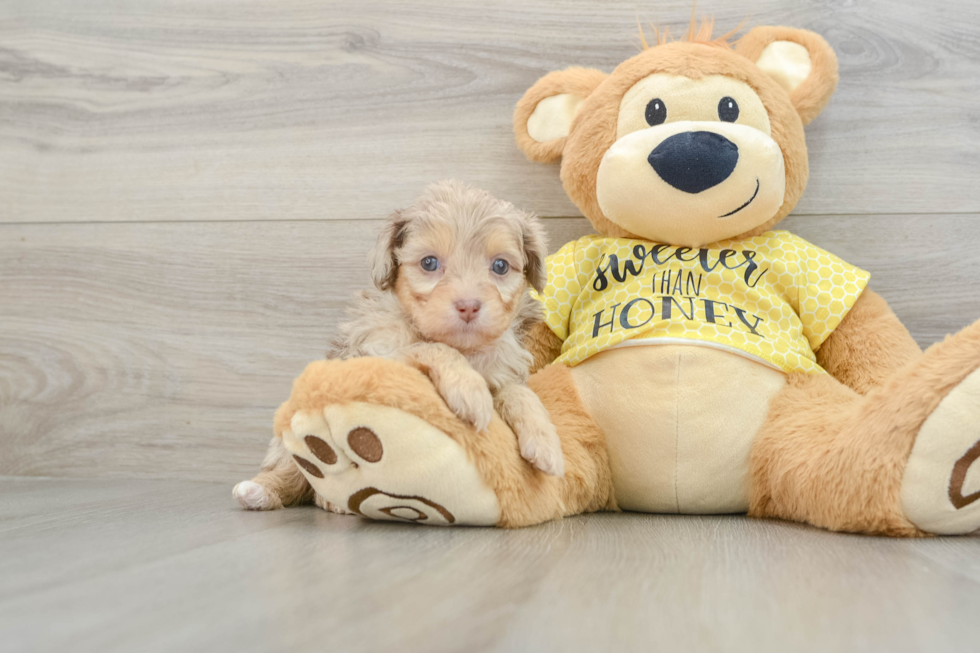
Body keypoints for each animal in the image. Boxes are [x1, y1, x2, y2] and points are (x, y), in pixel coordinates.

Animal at [233, 181, 564, 512]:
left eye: (500, 266)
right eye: (429, 263)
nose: (469, 306)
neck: (465, 348)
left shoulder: (501, 371)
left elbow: (519, 392)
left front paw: (545, 441)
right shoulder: (376, 356)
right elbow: (432, 349)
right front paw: (468, 388)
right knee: (293, 471)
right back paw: (265, 490)